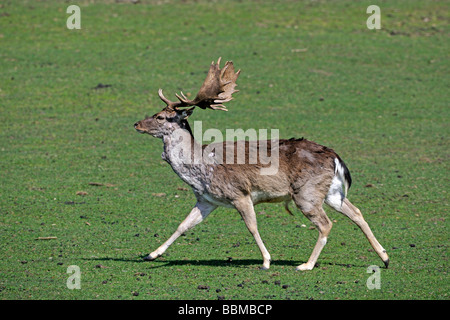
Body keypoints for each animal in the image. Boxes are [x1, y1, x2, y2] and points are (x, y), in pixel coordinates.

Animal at [134, 57, 390, 270]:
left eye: (160, 116)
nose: (136, 124)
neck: (201, 170)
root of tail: (335, 156)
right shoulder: (207, 200)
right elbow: (183, 225)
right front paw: (151, 254)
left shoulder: (239, 193)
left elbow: (252, 227)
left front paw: (266, 261)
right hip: (331, 192)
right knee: (356, 212)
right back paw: (385, 258)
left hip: (306, 193)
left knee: (326, 223)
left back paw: (306, 265)